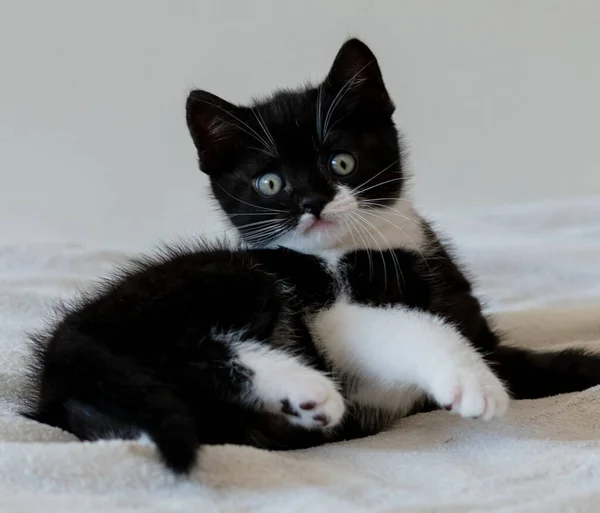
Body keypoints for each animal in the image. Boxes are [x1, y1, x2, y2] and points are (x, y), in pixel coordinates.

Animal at [21, 38, 600, 474]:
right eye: (270, 183)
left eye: (340, 161)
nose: (311, 203)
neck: (370, 248)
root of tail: (62, 343)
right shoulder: (329, 318)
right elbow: (407, 328)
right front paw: (471, 382)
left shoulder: (476, 327)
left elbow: (520, 359)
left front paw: (578, 366)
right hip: (228, 277)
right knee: (191, 350)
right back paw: (304, 389)